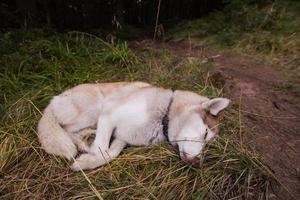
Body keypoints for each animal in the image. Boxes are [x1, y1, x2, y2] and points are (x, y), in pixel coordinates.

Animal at [37, 82, 230, 171]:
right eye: (205, 134)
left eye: (208, 143)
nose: (198, 163)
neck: (163, 116)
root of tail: (53, 100)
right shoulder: (108, 115)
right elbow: (101, 148)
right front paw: (89, 157)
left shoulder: (123, 138)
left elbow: (110, 153)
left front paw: (88, 161)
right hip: (92, 109)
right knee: (66, 129)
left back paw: (87, 138)